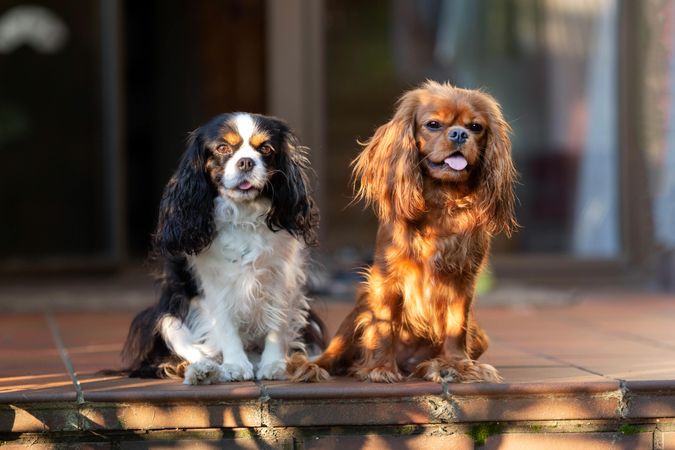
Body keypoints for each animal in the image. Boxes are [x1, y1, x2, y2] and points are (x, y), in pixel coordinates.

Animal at [123, 111, 326, 384]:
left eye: (266, 148)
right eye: (222, 148)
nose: (246, 162)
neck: (243, 215)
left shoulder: (281, 278)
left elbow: (277, 323)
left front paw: (274, 365)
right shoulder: (212, 284)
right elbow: (225, 326)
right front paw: (235, 365)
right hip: (164, 316)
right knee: (185, 348)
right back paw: (204, 370)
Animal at [290, 81, 516, 384]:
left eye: (476, 127)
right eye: (433, 124)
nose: (459, 134)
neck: (442, 202)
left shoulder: (463, 281)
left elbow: (457, 326)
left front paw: (457, 365)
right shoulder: (387, 277)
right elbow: (384, 327)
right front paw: (380, 368)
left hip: (478, 335)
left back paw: (437, 367)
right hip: (359, 308)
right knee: (334, 353)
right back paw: (312, 366)